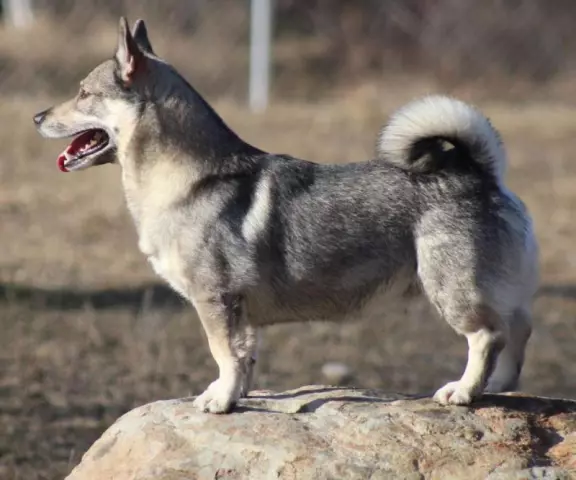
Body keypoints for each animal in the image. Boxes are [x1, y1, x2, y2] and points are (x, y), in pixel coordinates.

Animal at [35, 15, 540, 412]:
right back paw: (498, 386)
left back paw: (464, 391)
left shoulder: (215, 302)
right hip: (492, 291)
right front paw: (232, 394)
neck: (191, 178)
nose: (37, 117)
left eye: (83, 93)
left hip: (451, 290)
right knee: (517, 329)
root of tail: (480, 173)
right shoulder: (240, 314)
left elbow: (224, 354)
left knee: (487, 336)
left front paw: (221, 401)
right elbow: (243, 360)